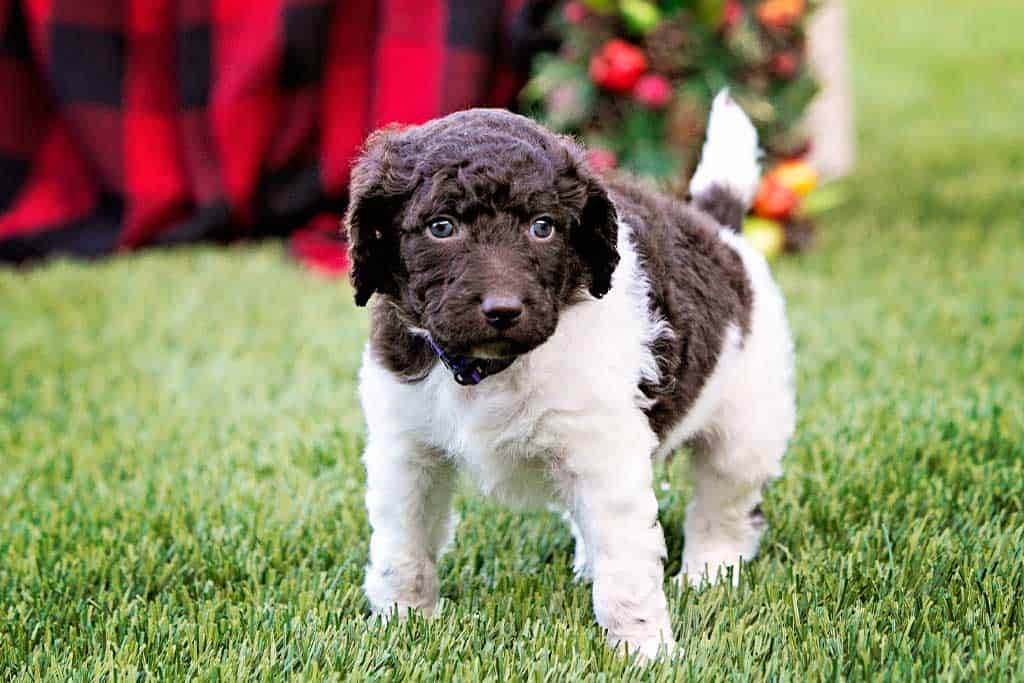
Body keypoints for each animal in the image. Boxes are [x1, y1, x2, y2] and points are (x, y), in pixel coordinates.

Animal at [348, 93, 794, 659]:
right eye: (441, 227)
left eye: (543, 227)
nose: (503, 309)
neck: (487, 368)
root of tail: (720, 230)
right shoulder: (406, 448)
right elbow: (402, 548)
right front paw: (401, 625)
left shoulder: (604, 454)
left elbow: (627, 566)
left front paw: (644, 652)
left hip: (747, 424)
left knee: (726, 505)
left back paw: (709, 571)